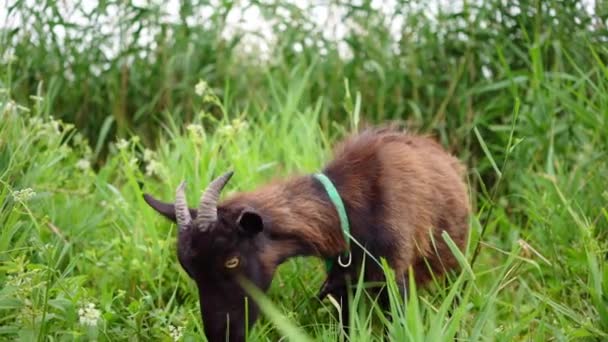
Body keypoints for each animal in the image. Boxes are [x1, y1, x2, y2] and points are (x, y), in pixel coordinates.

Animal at [142, 125, 470, 342]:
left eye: (232, 260)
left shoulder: (394, 278)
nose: (222, 337)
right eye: (189, 270)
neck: (348, 211)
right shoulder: (343, 289)